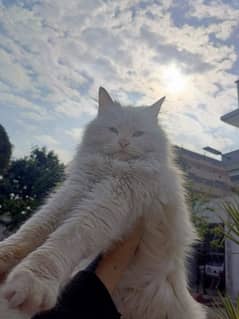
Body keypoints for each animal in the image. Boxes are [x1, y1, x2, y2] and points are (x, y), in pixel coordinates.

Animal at [0, 87, 205, 319]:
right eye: (113, 130)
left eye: (137, 133)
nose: (123, 143)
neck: (110, 168)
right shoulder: (72, 193)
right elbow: (30, 231)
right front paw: (3, 256)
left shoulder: (107, 202)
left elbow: (64, 239)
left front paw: (32, 282)